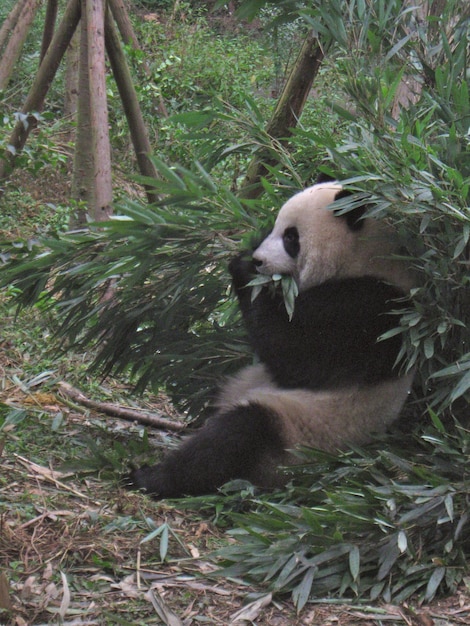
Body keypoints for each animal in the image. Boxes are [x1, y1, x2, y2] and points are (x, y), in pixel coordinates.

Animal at [129, 178, 414, 494]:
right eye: (274, 227)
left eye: (291, 238)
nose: (259, 260)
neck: (370, 260)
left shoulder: (371, 311)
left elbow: (295, 357)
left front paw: (245, 270)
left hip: (295, 439)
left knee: (235, 435)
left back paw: (151, 478)